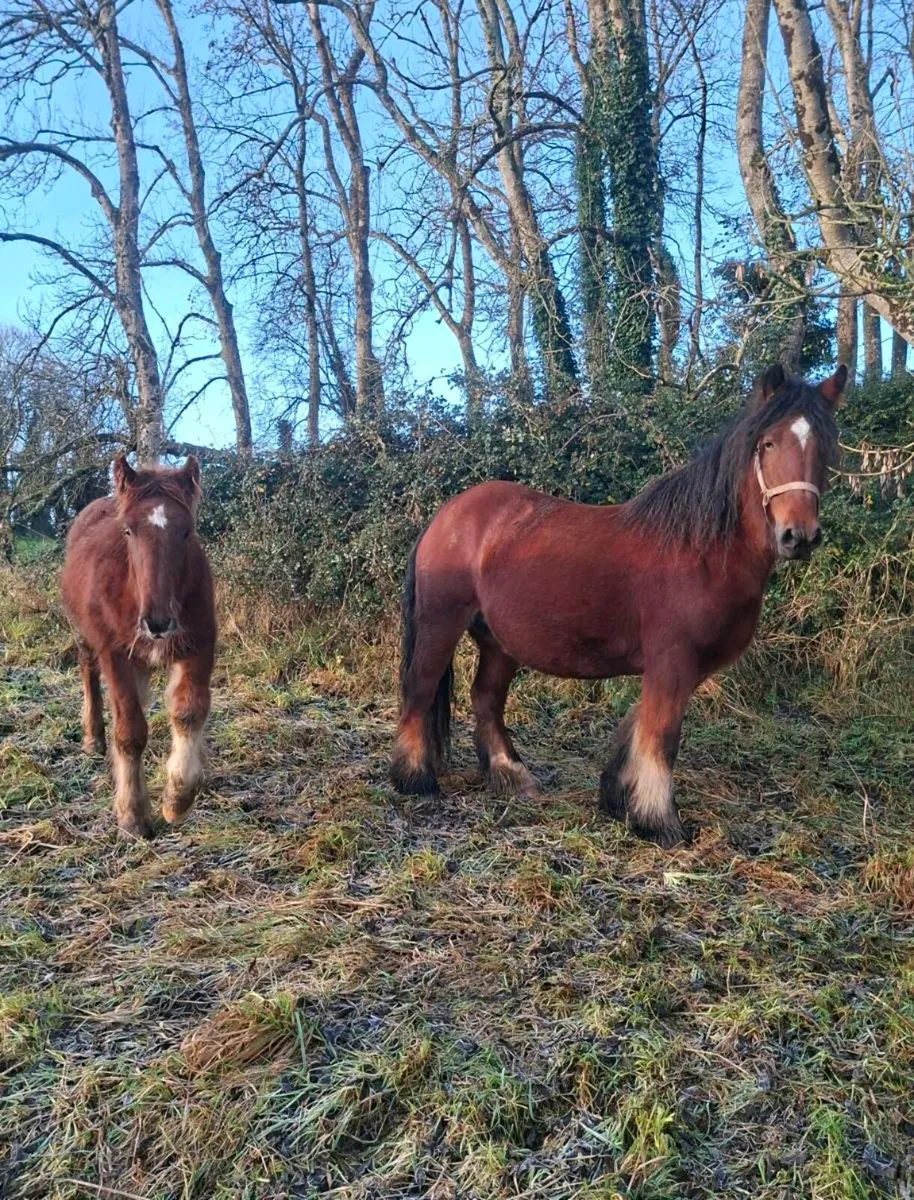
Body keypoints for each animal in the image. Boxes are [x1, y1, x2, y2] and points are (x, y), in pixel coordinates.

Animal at [61, 455, 216, 839]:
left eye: (187, 530)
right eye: (128, 531)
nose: (158, 622)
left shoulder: (199, 646)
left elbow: (189, 712)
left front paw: (177, 797)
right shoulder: (116, 655)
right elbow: (129, 731)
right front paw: (133, 815)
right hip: (85, 637)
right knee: (90, 677)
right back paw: (93, 740)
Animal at [390, 363, 846, 848]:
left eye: (825, 447)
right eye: (768, 443)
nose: (799, 535)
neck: (702, 550)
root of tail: (447, 514)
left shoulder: (679, 665)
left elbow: (638, 725)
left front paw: (618, 797)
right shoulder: (672, 659)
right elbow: (662, 735)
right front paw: (660, 822)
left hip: (498, 642)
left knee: (485, 698)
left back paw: (510, 776)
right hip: (441, 623)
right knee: (420, 688)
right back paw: (414, 779)